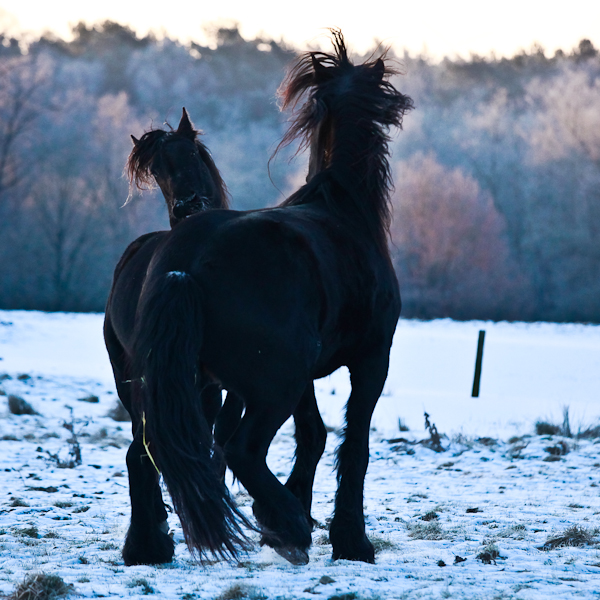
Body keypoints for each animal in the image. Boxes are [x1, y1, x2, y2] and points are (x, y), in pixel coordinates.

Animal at [103, 109, 253, 568]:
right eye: (156, 169)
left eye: (189, 153)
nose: (188, 204)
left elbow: (215, 443)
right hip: (131, 378)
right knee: (143, 448)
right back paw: (148, 538)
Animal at [128, 31, 412, 568]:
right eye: (379, 86)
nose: (399, 105)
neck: (344, 210)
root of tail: (185, 262)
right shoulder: (373, 359)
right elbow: (354, 445)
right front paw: (350, 539)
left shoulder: (307, 375)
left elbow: (314, 435)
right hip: (273, 384)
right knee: (240, 450)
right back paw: (290, 527)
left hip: (200, 384)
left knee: (171, 450)